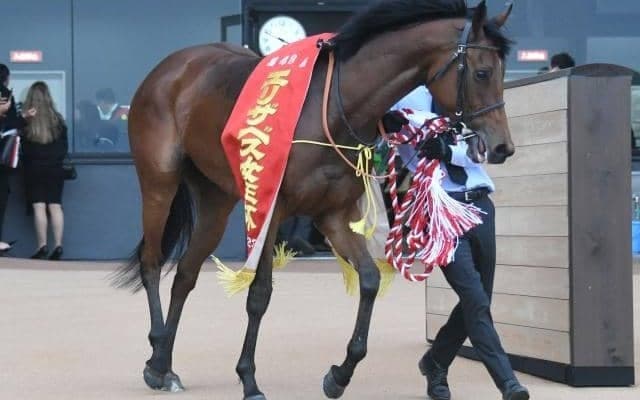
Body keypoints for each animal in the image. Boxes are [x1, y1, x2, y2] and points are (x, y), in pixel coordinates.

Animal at [113, 1, 514, 398]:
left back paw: (163, 364)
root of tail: (170, 68)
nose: (502, 146)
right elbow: (260, 294)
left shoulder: (334, 213)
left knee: (185, 273)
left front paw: (339, 374)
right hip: (159, 182)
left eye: (502, 71)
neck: (333, 110)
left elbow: (369, 280)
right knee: (152, 262)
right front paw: (249, 379)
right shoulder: (272, 209)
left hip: (216, 199)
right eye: (482, 73)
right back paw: (156, 356)